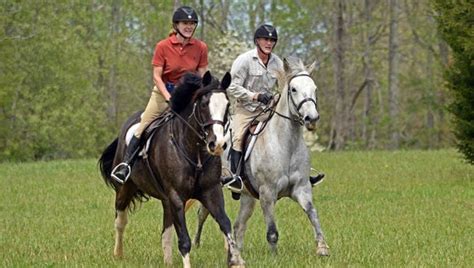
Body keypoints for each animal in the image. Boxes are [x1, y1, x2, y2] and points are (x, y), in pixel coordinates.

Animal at [97, 71, 244, 268]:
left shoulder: (211, 192)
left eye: (227, 105)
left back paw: (167, 262)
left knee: (165, 232)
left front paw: (236, 260)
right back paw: (118, 254)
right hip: (125, 188)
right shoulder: (176, 196)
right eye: (204, 105)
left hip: (166, 200)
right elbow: (184, 240)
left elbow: (226, 225)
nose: (218, 144)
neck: (194, 152)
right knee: (121, 219)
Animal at [193, 56, 330, 255]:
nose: (311, 119)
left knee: (238, 225)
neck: (285, 145)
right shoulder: (267, 193)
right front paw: (274, 256)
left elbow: (313, 214)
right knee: (202, 214)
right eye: (293, 89)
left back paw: (237, 250)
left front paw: (322, 248)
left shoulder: (302, 189)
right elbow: (272, 231)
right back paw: (196, 244)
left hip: (247, 197)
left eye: (315, 88)